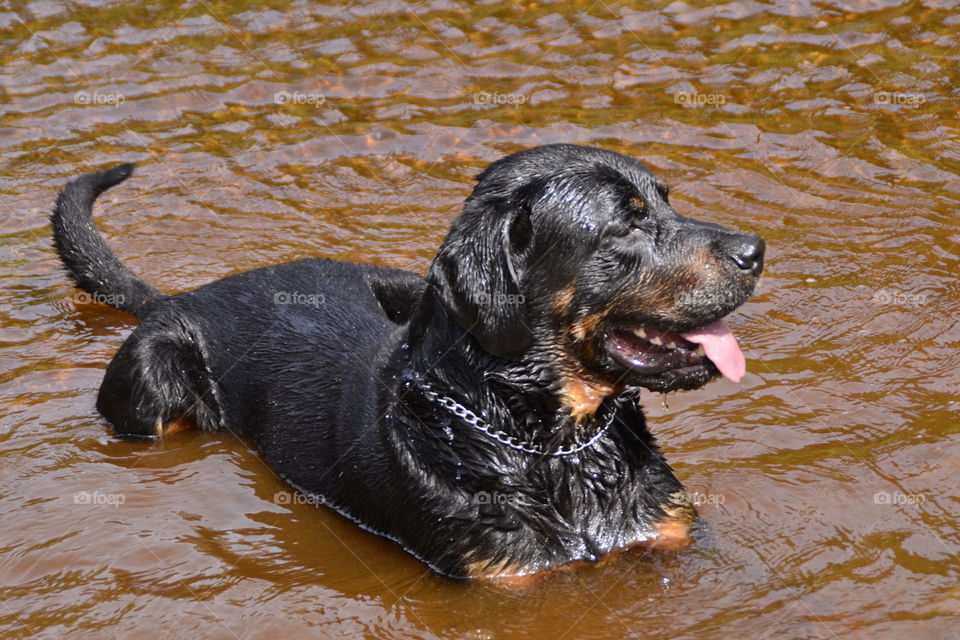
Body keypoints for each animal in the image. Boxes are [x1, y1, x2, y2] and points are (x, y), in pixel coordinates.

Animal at [50, 145, 764, 580]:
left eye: (668, 201)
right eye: (626, 224)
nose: (756, 249)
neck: (548, 445)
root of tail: (183, 295)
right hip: (149, 377)